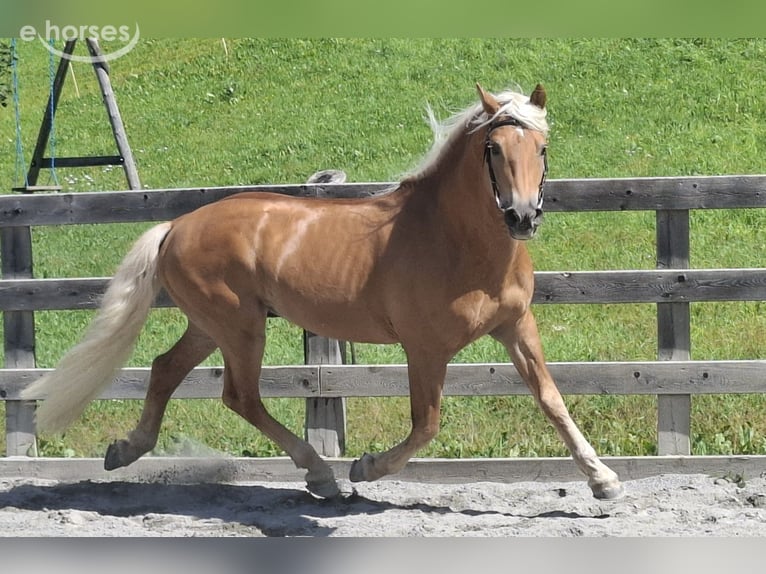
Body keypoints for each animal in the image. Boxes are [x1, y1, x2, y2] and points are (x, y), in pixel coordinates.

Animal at [21, 83, 624, 500]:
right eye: (494, 147)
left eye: (541, 147)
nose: (522, 217)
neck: (459, 244)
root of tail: (178, 225)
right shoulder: (425, 349)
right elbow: (426, 425)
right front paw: (365, 467)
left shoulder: (515, 327)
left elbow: (551, 399)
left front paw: (603, 480)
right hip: (240, 327)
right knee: (239, 396)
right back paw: (322, 476)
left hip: (212, 325)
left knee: (166, 368)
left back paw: (126, 450)